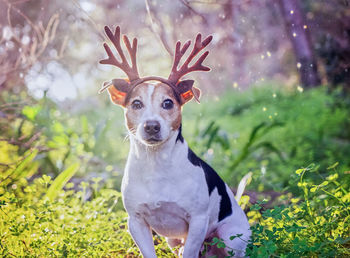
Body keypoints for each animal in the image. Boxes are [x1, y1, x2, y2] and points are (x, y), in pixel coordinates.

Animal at [99, 25, 252, 256]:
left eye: (168, 103)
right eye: (136, 104)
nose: (151, 126)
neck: (155, 164)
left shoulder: (198, 221)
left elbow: (189, 252)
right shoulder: (136, 221)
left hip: (231, 238)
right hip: (174, 241)